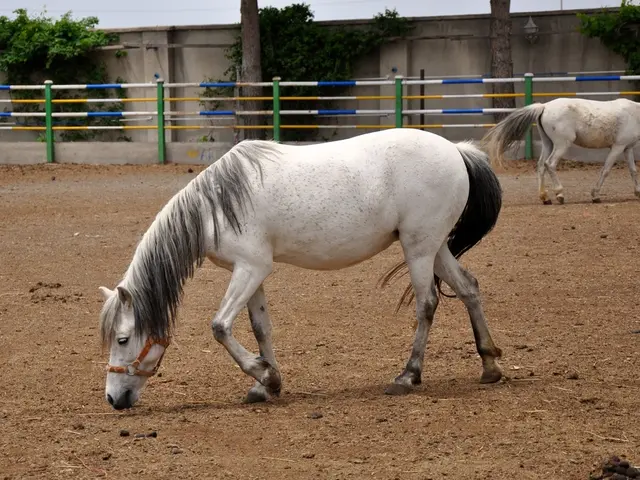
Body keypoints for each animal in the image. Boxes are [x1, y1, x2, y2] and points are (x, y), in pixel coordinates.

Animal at [97, 128, 504, 410]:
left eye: (122, 339)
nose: (113, 399)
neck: (217, 205)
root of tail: (457, 150)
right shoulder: (253, 272)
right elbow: (260, 327)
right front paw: (266, 384)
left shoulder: (250, 268)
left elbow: (220, 326)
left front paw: (263, 374)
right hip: (434, 247)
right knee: (468, 288)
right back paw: (489, 366)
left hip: (419, 248)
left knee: (427, 303)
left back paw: (407, 376)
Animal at [481, 97, 640, 204]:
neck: (634, 113)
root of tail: (544, 107)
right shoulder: (618, 147)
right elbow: (606, 170)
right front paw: (595, 195)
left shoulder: (627, 148)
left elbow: (633, 170)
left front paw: (637, 192)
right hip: (562, 144)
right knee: (550, 164)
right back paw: (559, 194)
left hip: (548, 144)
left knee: (541, 165)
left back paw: (545, 198)